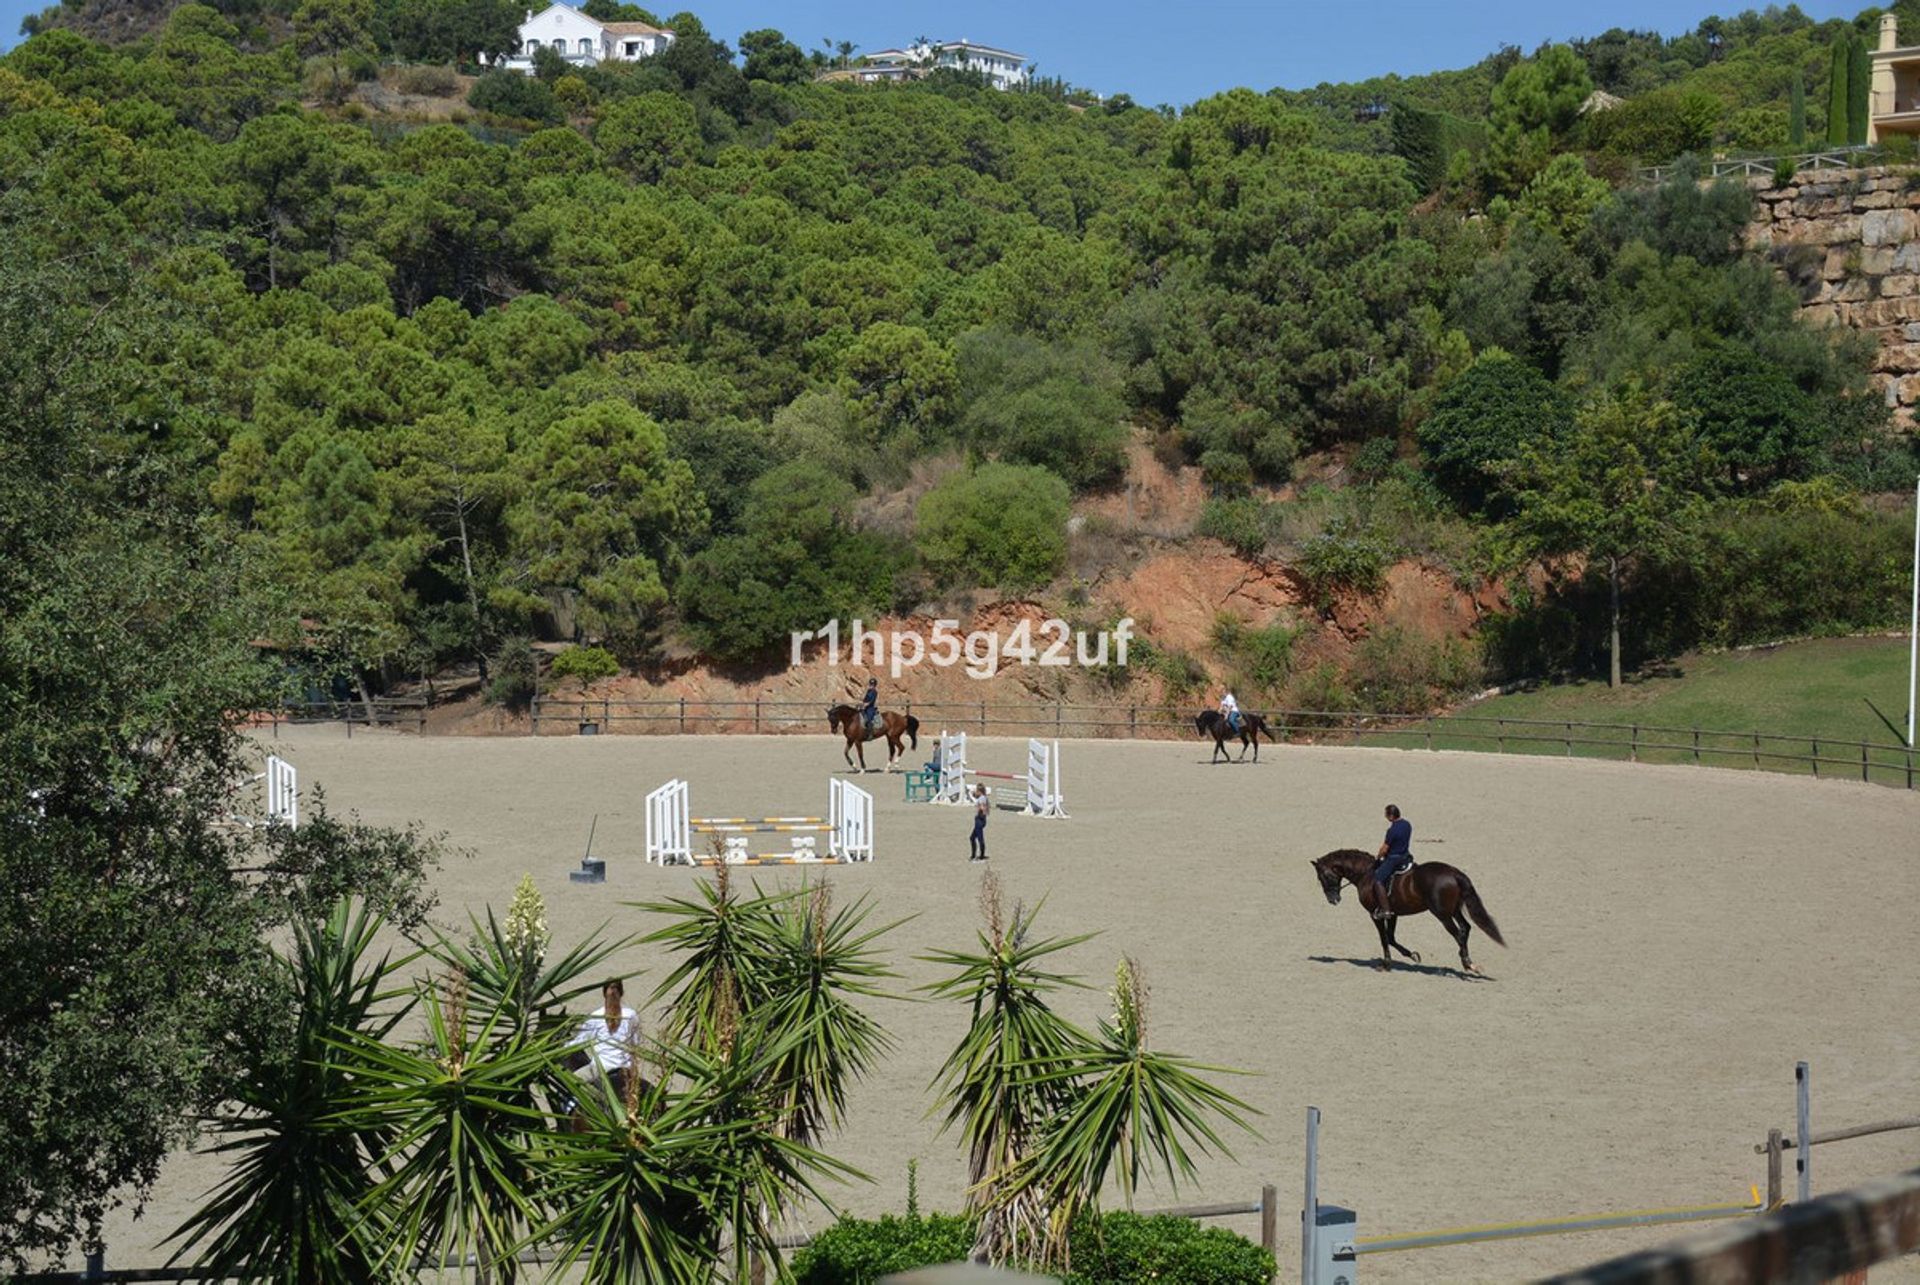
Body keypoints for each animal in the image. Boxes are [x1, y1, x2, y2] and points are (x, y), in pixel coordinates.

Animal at [1313, 841, 1505, 971]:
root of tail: (1454, 873)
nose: (1333, 900)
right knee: (1465, 928)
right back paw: (1465, 960)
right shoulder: (1392, 913)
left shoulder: (1375, 914)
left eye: (1323, 877)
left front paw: (1386, 964)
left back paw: (1468, 964)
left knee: (1458, 934)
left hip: (1442, 914)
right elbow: (1391, 937)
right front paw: (1412, 955)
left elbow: (1384, 938)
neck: (1365, 874)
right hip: (1454, 909)